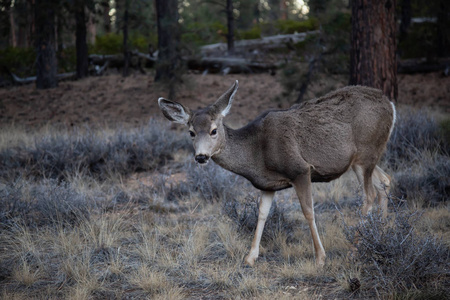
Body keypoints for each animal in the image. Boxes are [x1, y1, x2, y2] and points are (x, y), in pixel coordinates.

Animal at [157, 80, 394, 268]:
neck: (257, 153)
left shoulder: (300, 169)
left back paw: (354, 249)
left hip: (365, 152)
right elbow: (262, 214)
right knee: (385, 181)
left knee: (369, 194)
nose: (201, 157)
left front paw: (320, 257)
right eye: (191, 132)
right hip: (366, 156)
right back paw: (381, 235)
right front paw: (250, 257)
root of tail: (390, 105)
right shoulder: (267, 184)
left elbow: (308, 211)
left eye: (214, 130)